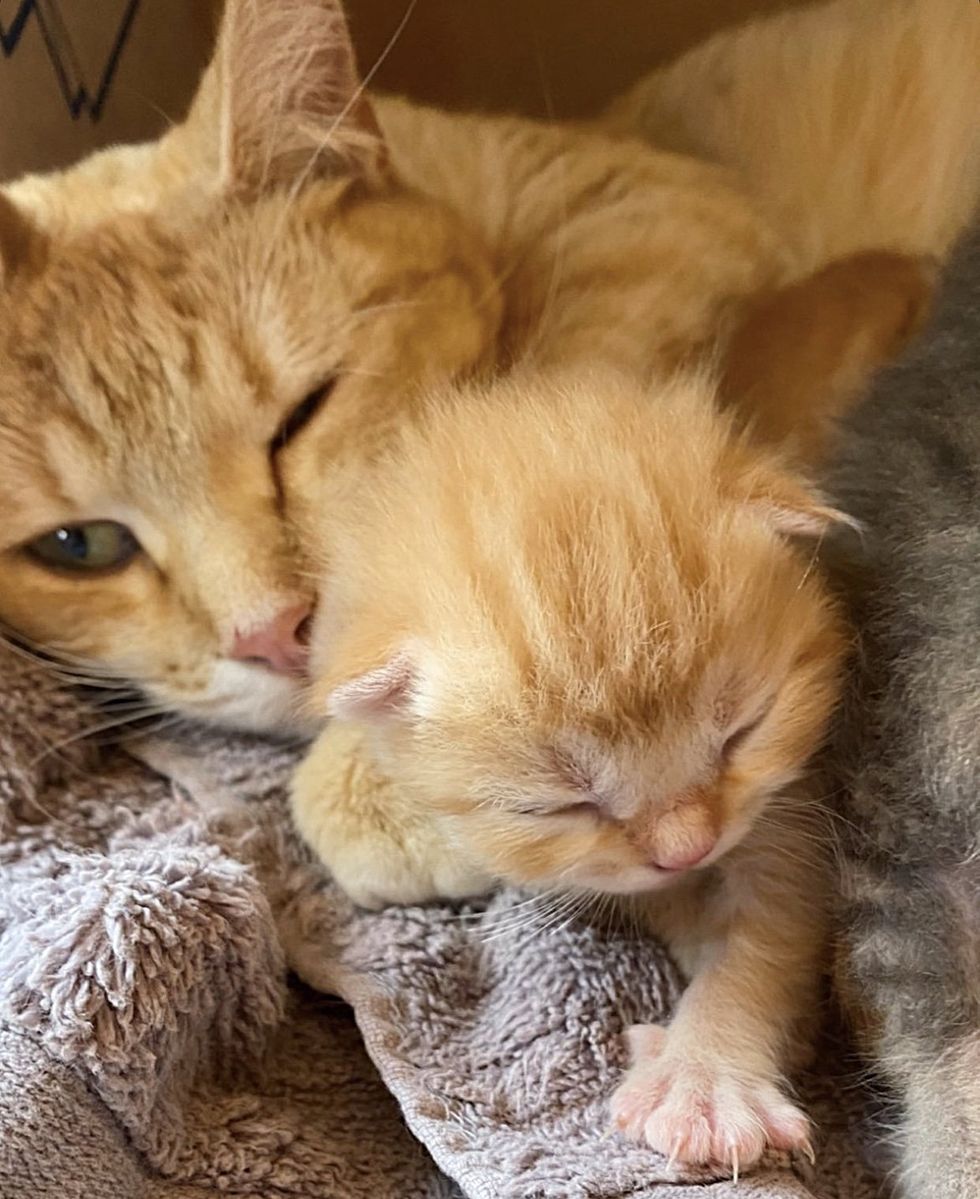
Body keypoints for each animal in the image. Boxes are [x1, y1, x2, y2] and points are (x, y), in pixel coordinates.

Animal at [292, 366, 849, 1170]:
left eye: (743, 732)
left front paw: (706, 1075)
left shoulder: (789, 811)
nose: (687, 849)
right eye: (559, 804)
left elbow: (767, 932)